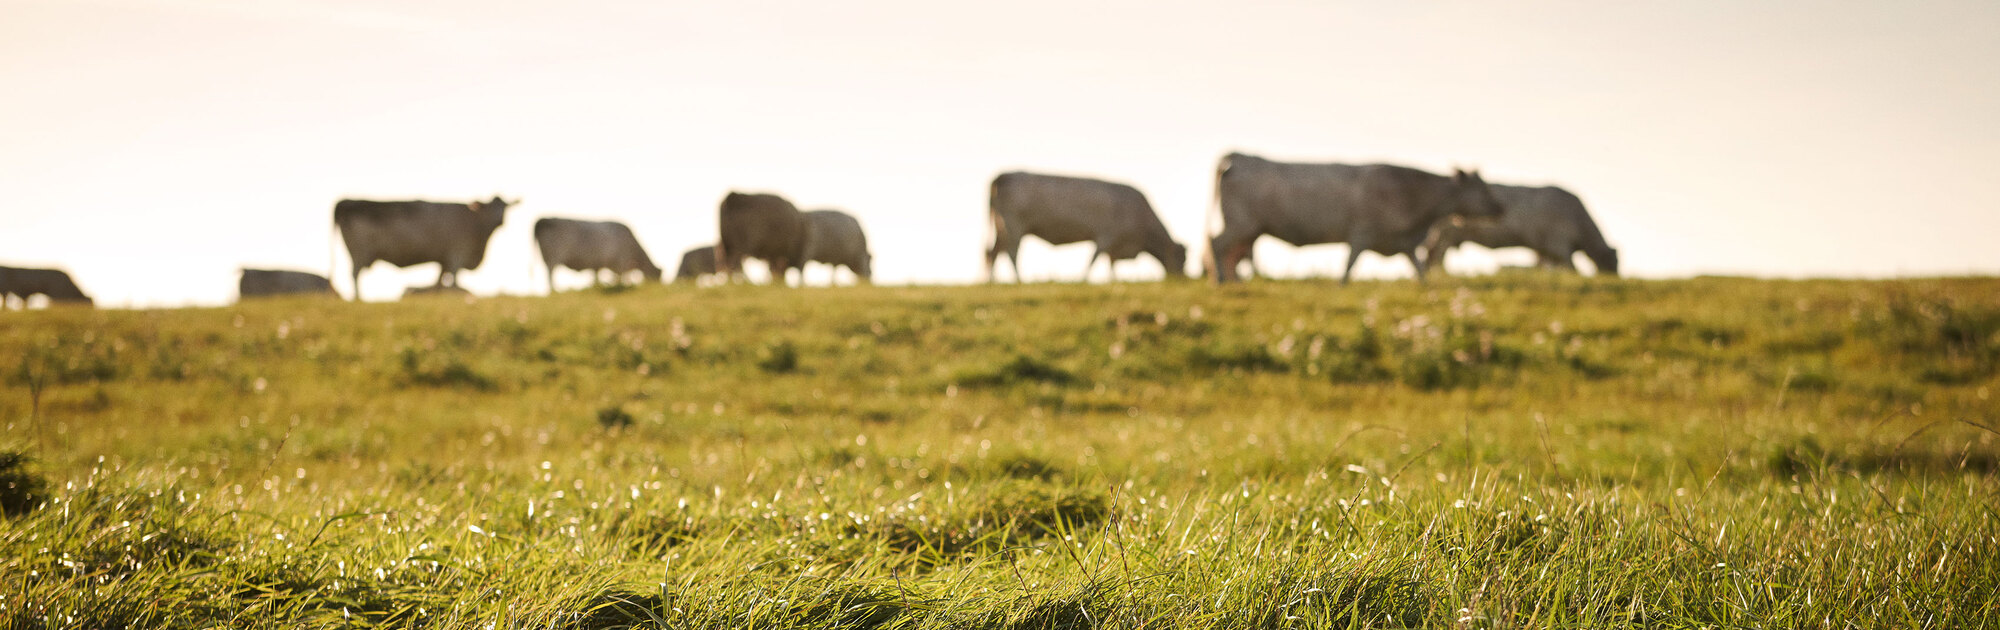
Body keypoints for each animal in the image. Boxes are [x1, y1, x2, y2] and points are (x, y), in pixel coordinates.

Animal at [334, 195, 516, 302]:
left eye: (505, 207)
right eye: (490, 206)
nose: (500, 220)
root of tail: (344, 202)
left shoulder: (444, 259)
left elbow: (439, 283)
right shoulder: (457, 253)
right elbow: (453, 282)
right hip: (359, 252)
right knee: (354, 274)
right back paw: (359, 299)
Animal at [532, 217, 664, 292]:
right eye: (656, 277)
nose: (657, 287)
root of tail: (542, 220)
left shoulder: (598, 265)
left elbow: (597, 279)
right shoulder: (621, 263)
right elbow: (621, 279)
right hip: (553, 256)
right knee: (550, 272)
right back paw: (554, 290)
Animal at [984, 170, 1184, 284]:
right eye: (1181, 259)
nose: (1181, 278)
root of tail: (1002, 176)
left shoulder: (1113, 243)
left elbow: (1110, 263)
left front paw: (1114, 281)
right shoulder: (1107, 237)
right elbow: (1094, 260)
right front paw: (1084, 280)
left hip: (1003, 227)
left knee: (994, 252)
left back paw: (992, 282)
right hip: (1014, 225)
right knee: (1011, 253)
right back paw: (1019, 280)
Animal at [1200, 154, 1504, 286]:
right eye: (1483, 189)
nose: (1500, 208)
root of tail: (1235, 159)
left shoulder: (1403, 242)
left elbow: (1418, 267)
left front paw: (1426, 288)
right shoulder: (1362, 232)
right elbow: (1350, 263)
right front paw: (1342, 285)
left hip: (1249, 230)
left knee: (1232, 253)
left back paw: (1234, 282)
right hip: (1240, 224)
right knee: (1216, 245)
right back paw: (1220, 281)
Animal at [1416, 183, 1616, 276]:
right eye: (1612, 264)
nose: (1614, 276)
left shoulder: (1543, 247)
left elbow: (1544, 265)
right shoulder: (1558, 243)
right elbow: (1571, 268)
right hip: (1444, 233)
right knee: (1436, 254)